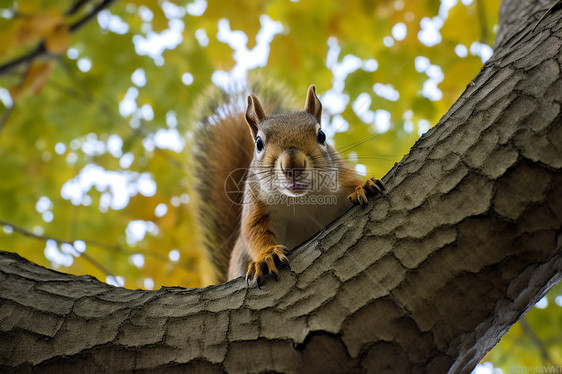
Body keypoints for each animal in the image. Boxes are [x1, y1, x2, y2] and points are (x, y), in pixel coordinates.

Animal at [191, 82, 380, 286]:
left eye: (322, 135)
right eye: (258, 143)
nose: (293, 165)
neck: (302, 200)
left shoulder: (342, 175)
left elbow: (353, 182)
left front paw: (363, 187)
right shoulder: (257, 205)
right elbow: (254, 232)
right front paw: (266, 257)